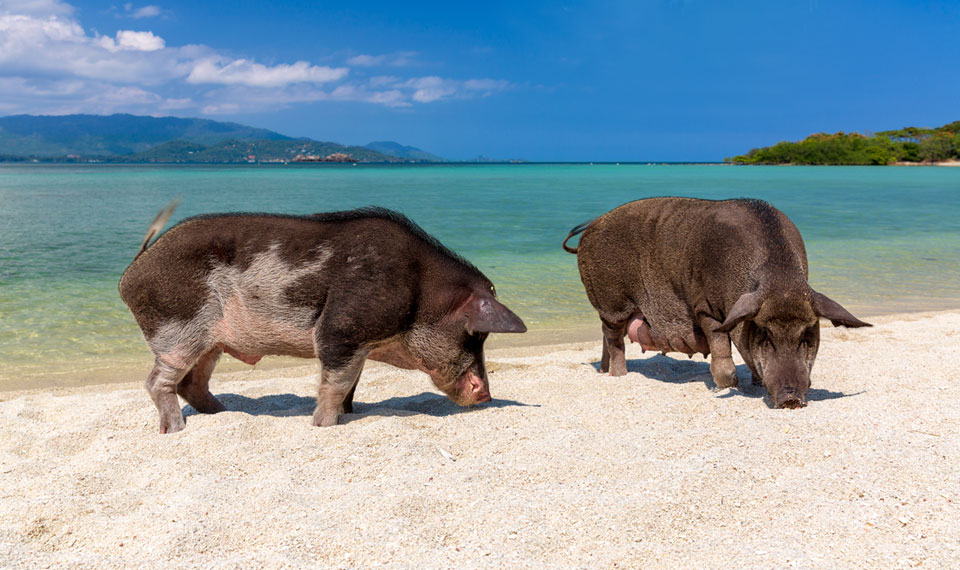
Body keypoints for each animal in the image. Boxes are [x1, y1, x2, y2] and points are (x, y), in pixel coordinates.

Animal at [120, 203, 526, 433]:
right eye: (474, 335)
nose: (487, 394)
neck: (421, 292)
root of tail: (132, 270)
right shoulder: (340, 330)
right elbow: (336, 382)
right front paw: (324, 426)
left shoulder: (359, 345)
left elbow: (351, 385)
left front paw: (348, 415)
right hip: (177, 330)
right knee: (157, 382)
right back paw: (176, 430)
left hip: (210, 342)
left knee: (192, 383)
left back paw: (226, 413)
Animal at [562, 197, 871, 408]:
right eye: (765, 333)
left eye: (808, 334)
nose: (790, 399)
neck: (780, 282)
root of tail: (588, 231)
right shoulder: (706, 307)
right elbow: (720, 344)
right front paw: (728, 386)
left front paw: (754, 384)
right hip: (610, 301)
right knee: (614, 338)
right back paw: (619, 375)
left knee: (606, 338)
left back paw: (603, 371)